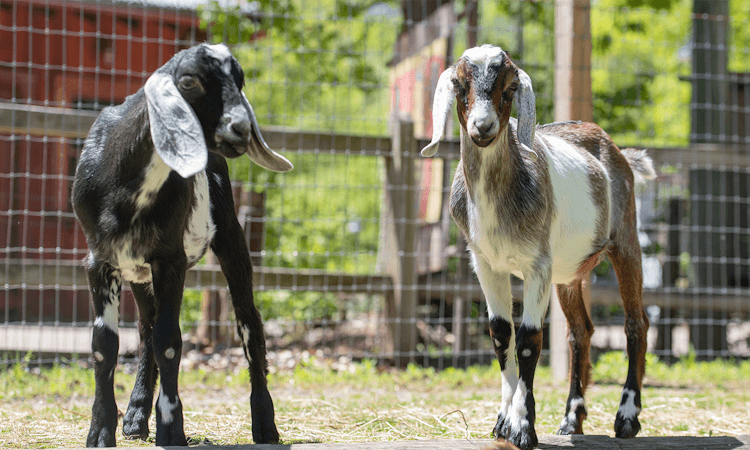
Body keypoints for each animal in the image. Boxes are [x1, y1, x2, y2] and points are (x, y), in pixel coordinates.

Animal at [71, 43, 292, 447]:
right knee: (144, 329)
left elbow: (170, 341)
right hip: (138, 273)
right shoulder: (100, 260)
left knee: (249, 324)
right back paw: (135, 418)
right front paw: (101, 431)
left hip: (231, 238)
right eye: (189, 81)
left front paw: (172, 428)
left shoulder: (170, 261)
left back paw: (265, 426)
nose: (241, 129)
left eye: (240, 80)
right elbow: (104, 346)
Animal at [422, 44, 656, 450]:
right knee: (581, 332)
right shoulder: (485, 263)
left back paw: (627, 418)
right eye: (459, 84)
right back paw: (572, 419)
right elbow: (501, 334)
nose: (483, 127)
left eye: (510, 88)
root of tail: (618, 150)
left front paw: (522, 426)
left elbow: (530, 339)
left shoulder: (537, 265)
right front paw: (502, 422)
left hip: (625, 241)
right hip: (568, 273)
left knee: (635, 324)